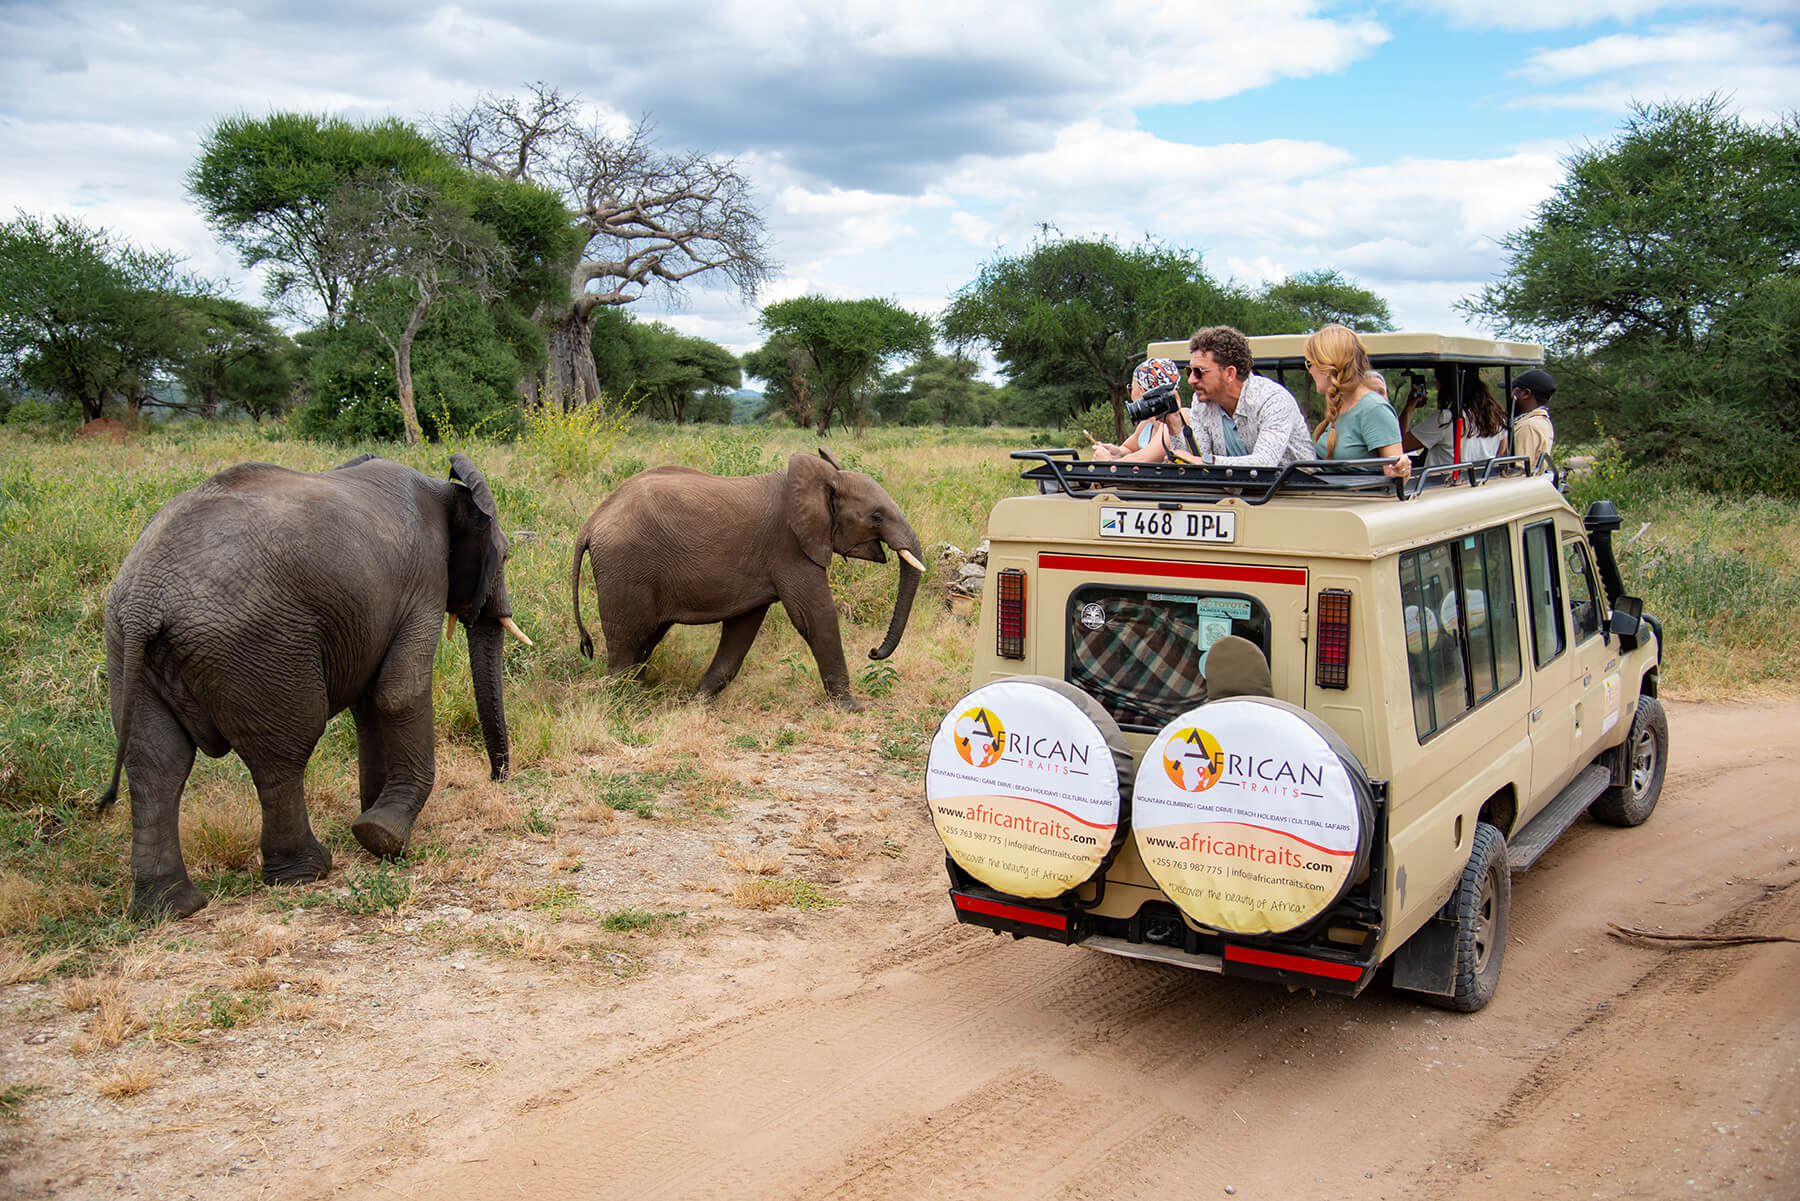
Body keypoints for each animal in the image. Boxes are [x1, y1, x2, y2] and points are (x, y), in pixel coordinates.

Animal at [98, 453, 532, 920]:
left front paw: (371, 815)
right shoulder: (424, 581)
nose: (496, 778)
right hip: (259, 645)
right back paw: (307, 871)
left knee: (157, 764)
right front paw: (383, 835)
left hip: (126, 649)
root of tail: (145, 600)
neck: (445, 488)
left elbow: (369, 705)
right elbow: (400, 691)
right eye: (505, 556)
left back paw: (171, 907)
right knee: (282, 755)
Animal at [570, 447, 926, 710]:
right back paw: (624, 704)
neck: (819, 481)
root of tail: (591, 523)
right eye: (876, 517)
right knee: (626, 640)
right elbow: (815, 616)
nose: (873, 652)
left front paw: (697, 705)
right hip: (624, 569)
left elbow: (742, 630)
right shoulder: (790, 547)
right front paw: (851, 708)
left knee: (645, 639)